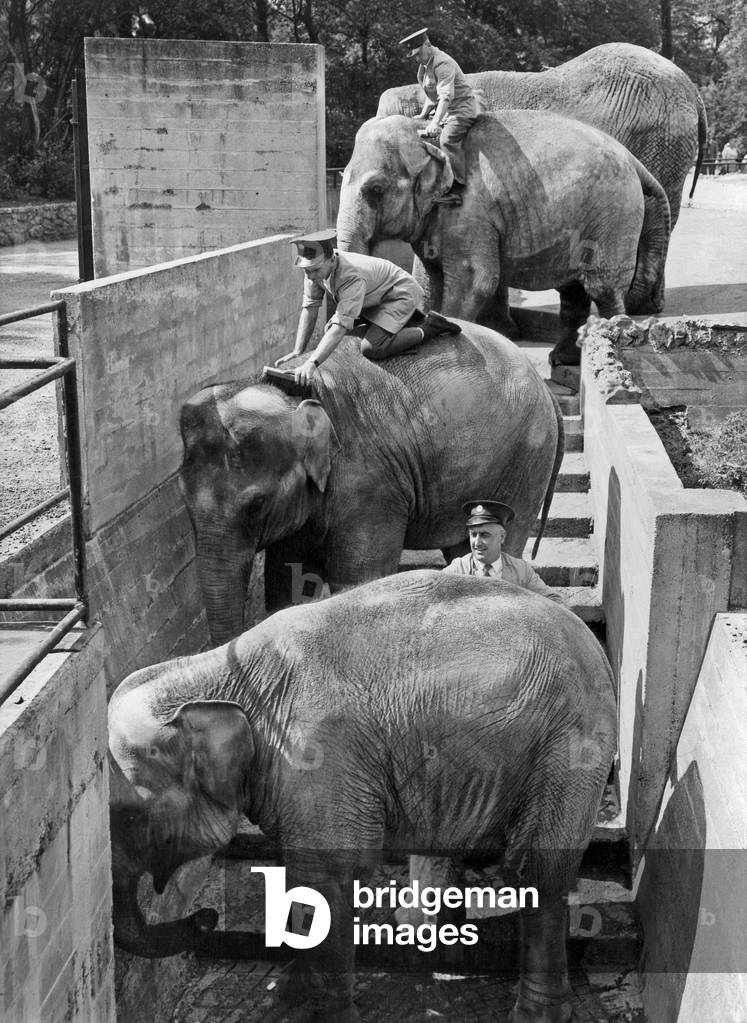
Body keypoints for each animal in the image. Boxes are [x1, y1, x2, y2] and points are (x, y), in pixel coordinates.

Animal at [108, 570, 617, 1023]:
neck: (214, 670)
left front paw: (326, 1011)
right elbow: (306, 877)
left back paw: (535, 1013)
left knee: (540, 872)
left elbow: (325, 880)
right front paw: (290, 997)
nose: (207, 917)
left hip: (569, 748)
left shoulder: (317, 756)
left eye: (129, 816)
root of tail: (595, 647)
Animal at [179, 324, 563, 646]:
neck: (287, 393)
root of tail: (547, 390)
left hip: (525, 462)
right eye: (185, 504)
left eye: (256, 504)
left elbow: (361, 575)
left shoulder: (370, 482)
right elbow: (285, 576)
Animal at [336, 112, 670, 365]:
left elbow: (475, 280)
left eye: (375, 189)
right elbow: (428, 280)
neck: (427, 136)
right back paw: (563, 360)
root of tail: (633, 160)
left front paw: (451, 330)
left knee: (602, 287)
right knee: (573, 289)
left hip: (614, 216)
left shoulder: (469, 212)